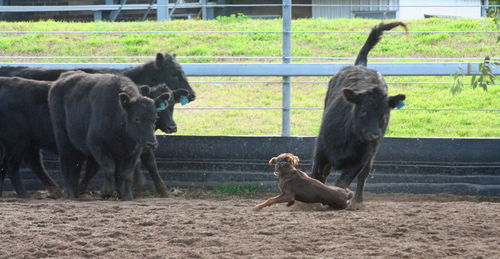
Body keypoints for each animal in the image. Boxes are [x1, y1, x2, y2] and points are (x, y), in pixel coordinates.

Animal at [49, 72, 170, 201]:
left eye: (155, 119)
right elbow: (109, 168)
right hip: (62, 138)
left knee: (77, 165)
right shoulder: (96, 145)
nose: (151, 143)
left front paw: (126, 195)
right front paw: (106, 192)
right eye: (137, 119)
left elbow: (126, 173)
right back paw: (69, 193)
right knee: (66, 162)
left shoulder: (134, 151)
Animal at [312, 21, 406, 205]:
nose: (374, 135)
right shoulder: (321, 151)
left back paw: (358, 201)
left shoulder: (361, 159)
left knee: (364, 176)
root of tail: (361, 66)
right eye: (363, 110)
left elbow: (343, 181)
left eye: (385, 113)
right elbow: (317, 177)